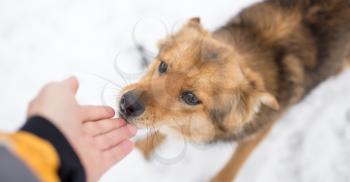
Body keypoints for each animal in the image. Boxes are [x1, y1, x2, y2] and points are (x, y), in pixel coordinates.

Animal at [117, 0, 350, 181]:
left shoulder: (259, 130)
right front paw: (141, 151)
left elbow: (231, 167)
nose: (127, 104)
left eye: (190, 97)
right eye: (163, 66)